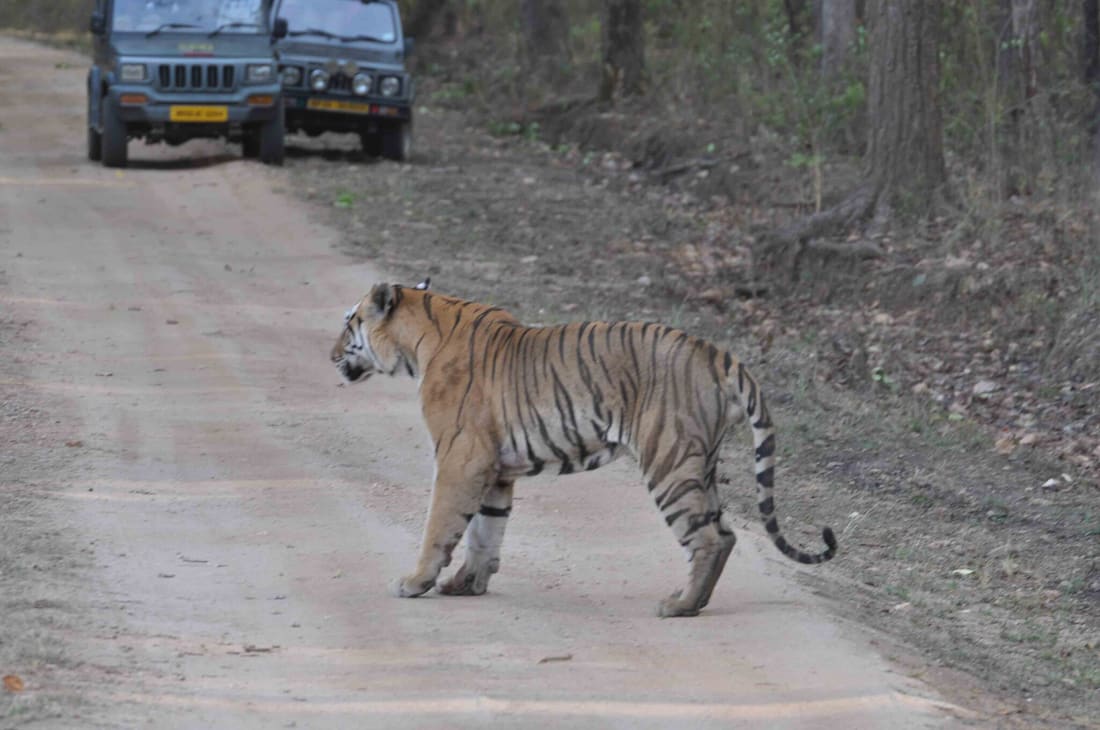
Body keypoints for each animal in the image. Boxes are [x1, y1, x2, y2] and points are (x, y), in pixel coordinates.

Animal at [330, 279, 837, 617]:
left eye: (349, 323)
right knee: (726, 534)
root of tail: (717, 353)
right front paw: (466, 585)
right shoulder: (495, 469)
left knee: (708, 538)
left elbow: (441, 526)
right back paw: (696, 601)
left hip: (669, 461)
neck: (417, 341)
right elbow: (485, 531)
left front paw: (416, 581)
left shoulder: (460, 459)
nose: (331, 354)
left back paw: (678, 606)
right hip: (700, 463)